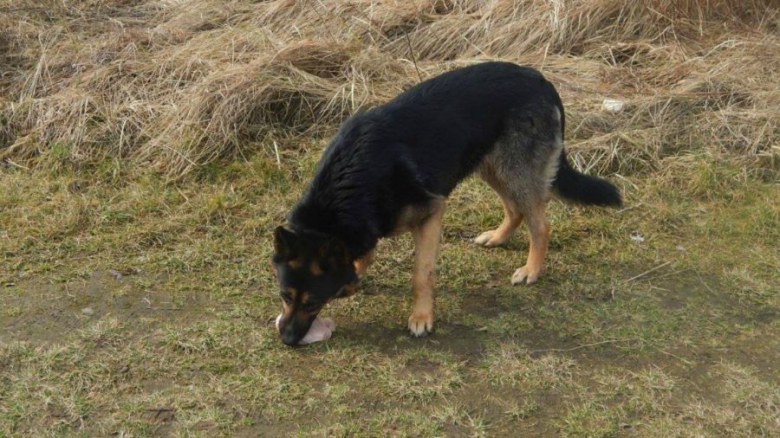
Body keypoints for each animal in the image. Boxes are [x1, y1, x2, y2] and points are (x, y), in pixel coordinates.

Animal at [272, 61, 620, 348]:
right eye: (284, 295)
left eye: (312, 303)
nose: (286, 340)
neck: (352, 180)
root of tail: (540, 79)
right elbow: (365, 253)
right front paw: (354, 276)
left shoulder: (431, 213)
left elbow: (421, 274)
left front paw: (421, 317)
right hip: (491, 167)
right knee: (515, 210)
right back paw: (497, 237)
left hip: (513, 171)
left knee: (541, 224)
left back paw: (531, 270)